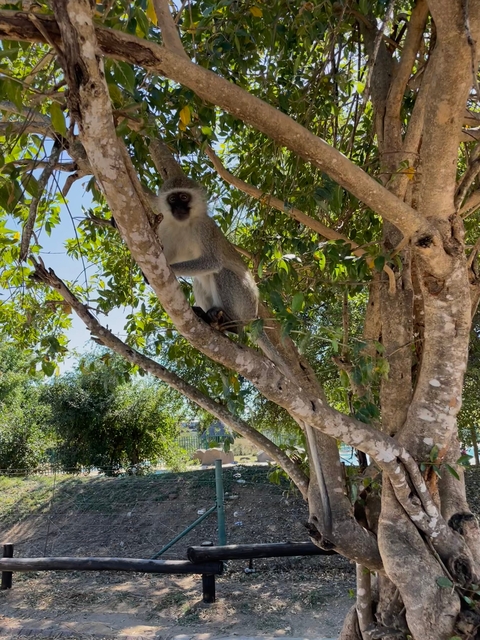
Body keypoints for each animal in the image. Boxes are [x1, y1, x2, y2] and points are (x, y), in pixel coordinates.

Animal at [153, 175, 259, 333]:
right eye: (172, 199)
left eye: (184, 197)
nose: (178, 208)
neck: (184, 224)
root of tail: (253, 317)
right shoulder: (166, 228)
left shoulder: (205, 229)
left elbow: (213, 262)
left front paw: (173, 269)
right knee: (198, 281)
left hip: (246, 302)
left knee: (222, 272)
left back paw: (231, 323)